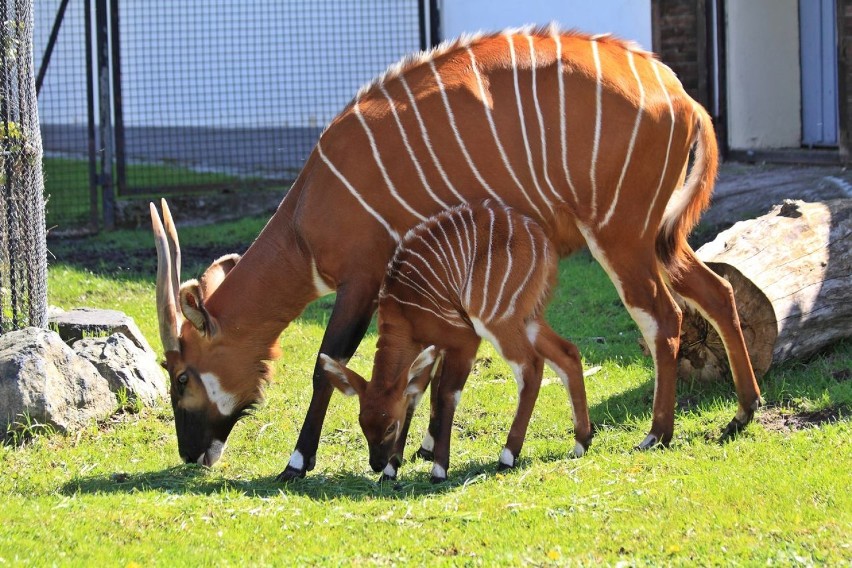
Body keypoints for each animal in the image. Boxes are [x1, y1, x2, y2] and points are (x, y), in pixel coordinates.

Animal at [320, 202, 592, 482]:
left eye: (390, 427)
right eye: (363, 423)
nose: (376, 463)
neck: (404, 308)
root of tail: (543, 242)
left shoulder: (463, 339)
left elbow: (447, 395)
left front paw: (438, 468)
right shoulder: (430, 349)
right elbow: (414, 395)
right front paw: (392, 469)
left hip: (498, 320)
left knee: (531, 366)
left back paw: (508, 455)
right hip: (529, 319)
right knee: (568, 353)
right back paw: (581, 442)